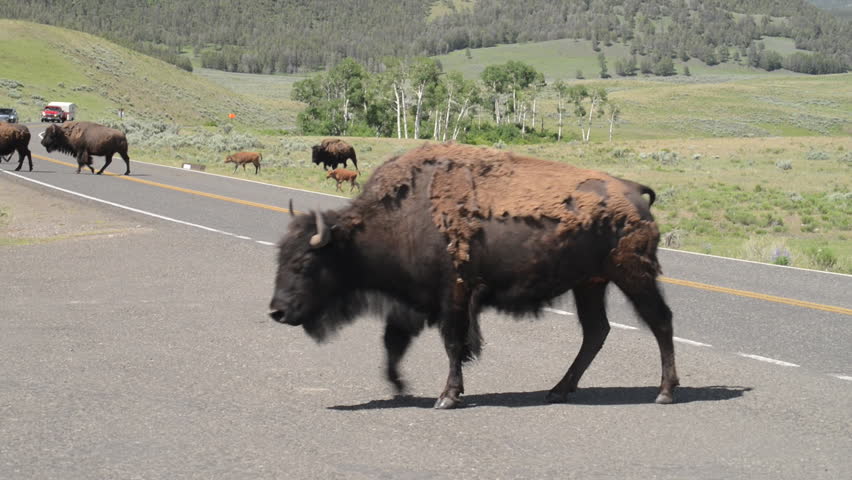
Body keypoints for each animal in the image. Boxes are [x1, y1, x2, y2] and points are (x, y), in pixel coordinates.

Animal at [269, 143, 678, 409]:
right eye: (280, 258)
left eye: (305, 264)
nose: (277, 311)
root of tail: (634, 191)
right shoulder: (416, 300)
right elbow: (394, 341)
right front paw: (399, 385)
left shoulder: (454, 292)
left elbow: (452, 342)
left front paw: (447, 397)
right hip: (589, 284)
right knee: (596, 331)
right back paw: (559, 390)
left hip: (633, 275)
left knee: (660, 321)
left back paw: (665, 392)